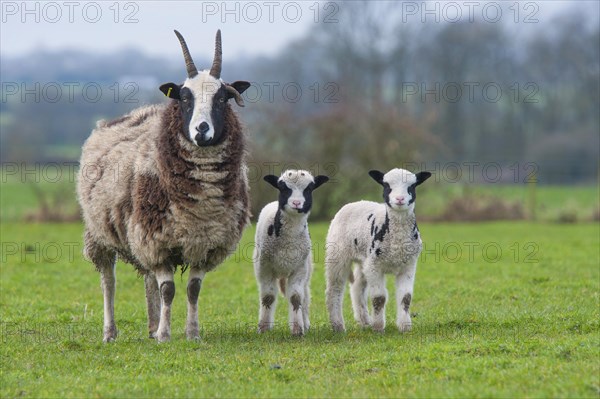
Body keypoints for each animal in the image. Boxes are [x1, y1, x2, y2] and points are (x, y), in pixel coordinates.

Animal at [77, 30, 251, 344]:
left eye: (222, 98)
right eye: (184, 97)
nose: (202, 131)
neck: (201, 205)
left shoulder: (202, 242)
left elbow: (193, 289)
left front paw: (191, 333)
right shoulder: (156, 242)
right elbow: (168, 290)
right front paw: (165, 335)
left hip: (140, 232)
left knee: (148, 280)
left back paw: (151, 326)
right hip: (100, 233)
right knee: (108, 280)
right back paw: (111, 332)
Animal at [252, 170, 330, 336]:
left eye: (309, 189)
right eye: (283, 188)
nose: (296, 203)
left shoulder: (299, 268)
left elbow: (296, 298)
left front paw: (298, 330)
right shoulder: (265, 267)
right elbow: (268, 297)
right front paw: (264, 328)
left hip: (307, 270)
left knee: (305, 296)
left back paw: (305, 323)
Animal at [324, 169, 432, 334]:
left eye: (412, 186)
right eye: (386, 185)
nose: (399, 199)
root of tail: (356, 202)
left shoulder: (408, 265)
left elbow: (405, 297)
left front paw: (405, 327)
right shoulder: (375, 266)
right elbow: (379, 298)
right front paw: (378, 327)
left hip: (364, 260)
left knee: (357, 287)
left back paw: (364, 321)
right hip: (337, 253)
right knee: (334, 289)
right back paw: (338, 326)